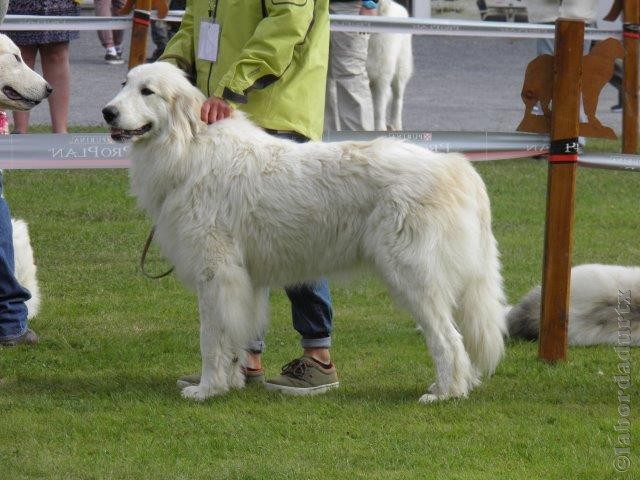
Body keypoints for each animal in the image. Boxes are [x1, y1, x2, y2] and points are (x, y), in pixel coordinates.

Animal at [102, 62, 508, 402]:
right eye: (124, 84)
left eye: (147, 92)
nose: (107, 112)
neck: (187, 147)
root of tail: (455, 166)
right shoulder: (244, 281)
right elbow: (237, 337)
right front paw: (232, 381)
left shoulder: (216, 274)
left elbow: (211, 339)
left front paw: (207, 389)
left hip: (413, 277)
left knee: (448, 339)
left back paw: (445, 393)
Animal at [364, 0, 416, 130]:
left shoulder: (381, 78)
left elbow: (378, 109)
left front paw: (379, 128)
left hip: (399, 73)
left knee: (398, 99)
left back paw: (395, 125)